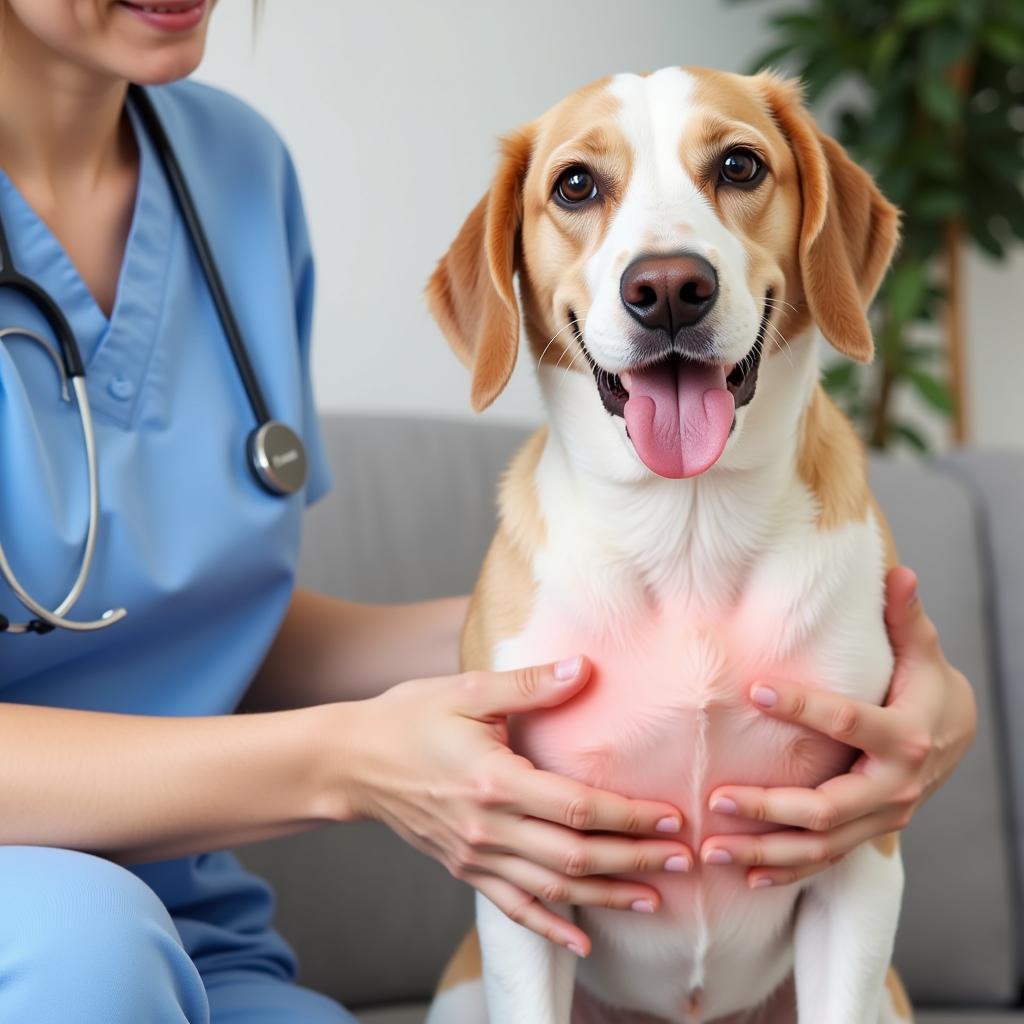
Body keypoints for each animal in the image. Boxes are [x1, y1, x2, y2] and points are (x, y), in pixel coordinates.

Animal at [423, 68, 913, 1019]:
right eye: (576, 185)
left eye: (739, 165)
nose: (669, 287)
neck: (688, 532)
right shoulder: (522, 871)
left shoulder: (856, 862)